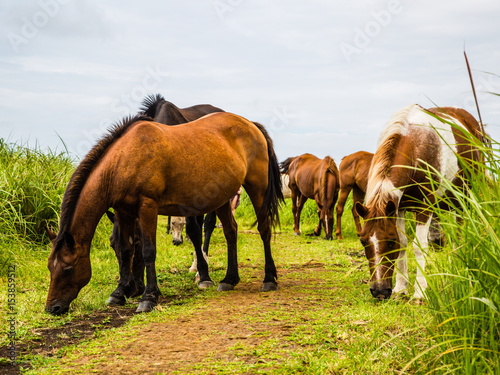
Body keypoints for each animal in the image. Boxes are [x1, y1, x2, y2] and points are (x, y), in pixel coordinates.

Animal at [46, 113, 286, 316]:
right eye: (50, 267)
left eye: (68, 269)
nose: (52, 308)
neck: (123, 159)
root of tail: (251, 124)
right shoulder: (123, 212)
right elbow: (126, 250)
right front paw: (119, 293)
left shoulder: (147, 207)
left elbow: (148, 252)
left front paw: (148, 298)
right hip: (223, 198)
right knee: (230, 231)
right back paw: (229, 279)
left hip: (257, 187)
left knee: (264, 229)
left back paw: (269, 279)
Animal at [354, 104, 482, 302]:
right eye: (362, 241)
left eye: (390, 242)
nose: (379, 291)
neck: (415, 148)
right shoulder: (398, 208)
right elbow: (404, 244)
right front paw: (400, 288)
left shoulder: (424, 208)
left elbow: (419, 247)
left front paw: (420, 292)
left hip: (465, 198)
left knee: (460, 232)